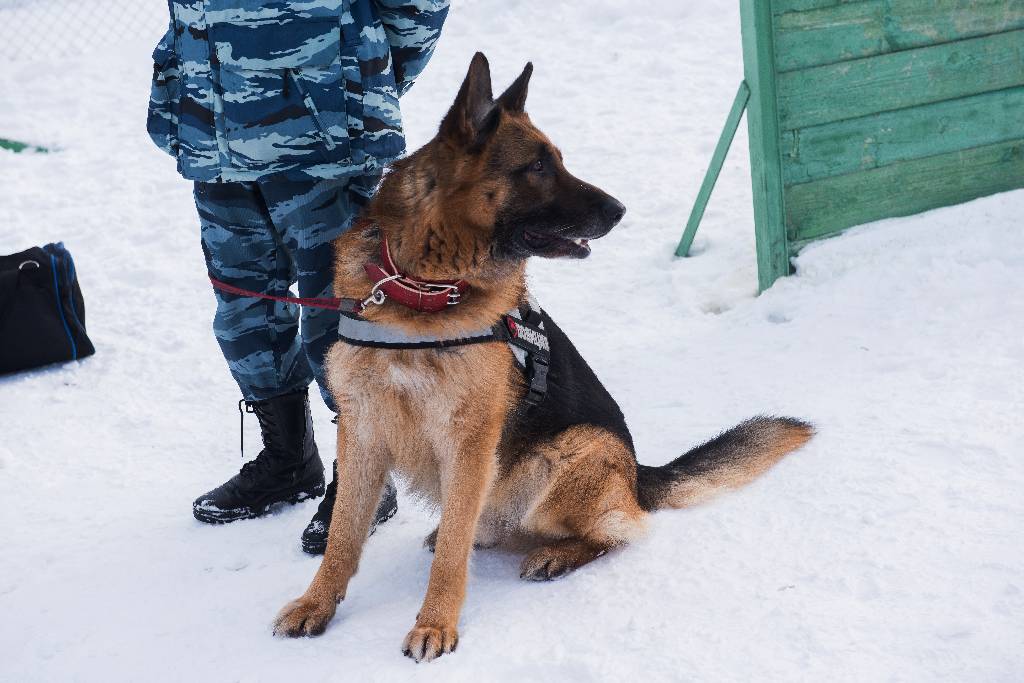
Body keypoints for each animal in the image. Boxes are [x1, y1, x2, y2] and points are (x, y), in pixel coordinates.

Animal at [274, 53, 815, 663]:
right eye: (536, 166)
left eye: (558, 160)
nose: (620, 210)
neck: (422, 290)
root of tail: (637, 475)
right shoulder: (363, 431)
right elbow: (344, 537)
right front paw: (317, 604)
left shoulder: (470, 442)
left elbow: (453, 555)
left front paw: (436, 623)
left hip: (569, 455)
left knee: (617, 532)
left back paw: (556, 554)